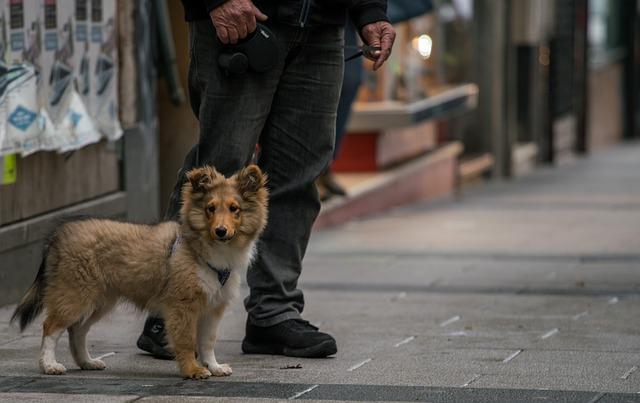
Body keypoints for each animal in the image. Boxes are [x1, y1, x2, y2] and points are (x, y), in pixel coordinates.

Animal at [12, 164, 268, 378]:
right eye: (210, 208)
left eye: (234, 209)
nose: (221, 231)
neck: (204, 250)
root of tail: (60, 233)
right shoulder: (182, 305)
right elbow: (187, 341)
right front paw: (193, 370)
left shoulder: (213, 307)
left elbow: (207, 342)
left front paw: (214, 367)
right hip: (74, 294)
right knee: (51, 327)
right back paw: (49, 365)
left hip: (100, 300)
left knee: (77, 330)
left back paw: (87, 362)